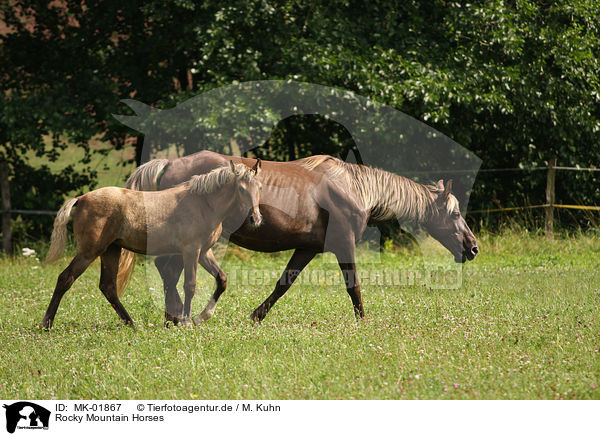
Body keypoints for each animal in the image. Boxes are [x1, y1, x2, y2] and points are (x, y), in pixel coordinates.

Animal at [117, 151, 478, 324]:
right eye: (454, 214)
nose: (472, 248)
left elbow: (283, 283)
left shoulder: (306, 248)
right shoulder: (344, 244)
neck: (354, 188)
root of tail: (170, 162)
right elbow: (354, 286)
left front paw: (257, 315)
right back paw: (176, 315)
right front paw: (363, 320)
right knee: (169, 272)